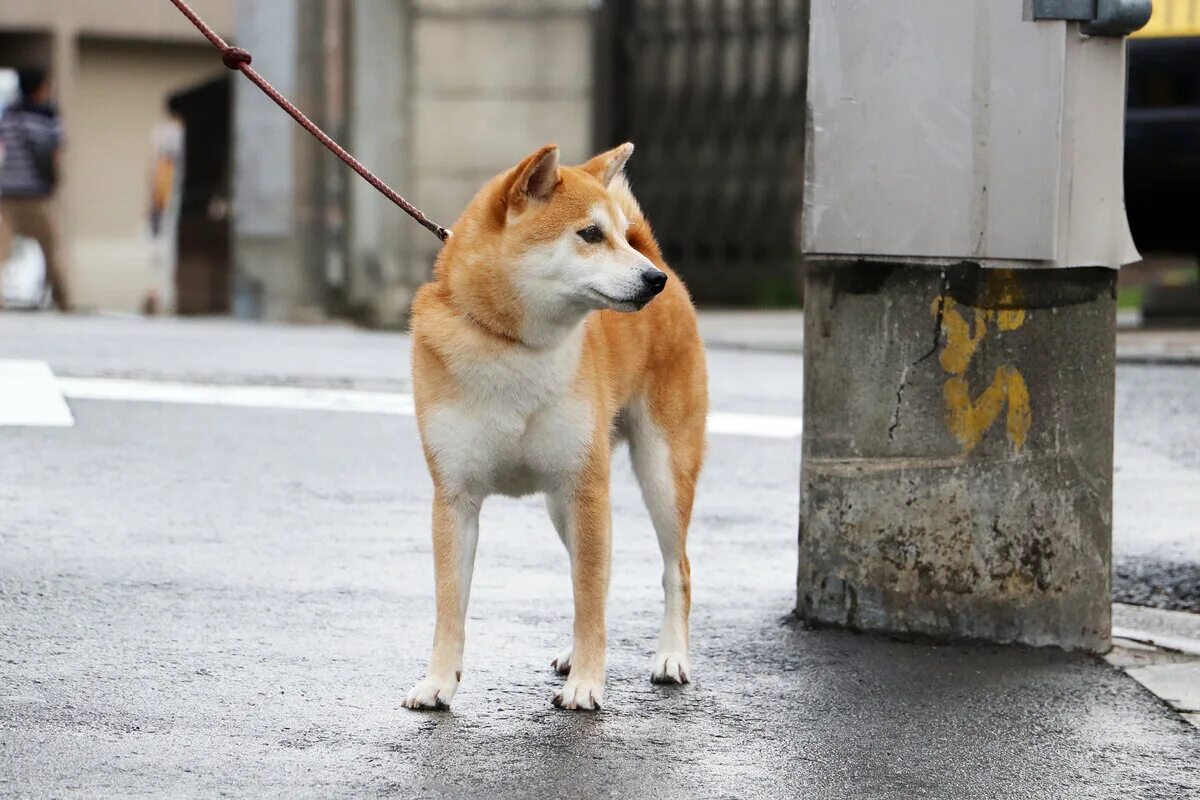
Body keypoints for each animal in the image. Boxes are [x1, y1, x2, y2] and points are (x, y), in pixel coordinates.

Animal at [405, 140, 700, 710]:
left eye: (616, 234)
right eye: (590, 234)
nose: (653, 280)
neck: (515, 348)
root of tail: (658, 254)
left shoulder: (587, 487)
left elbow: (589, 599)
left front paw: (585, 683)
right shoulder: (455, 498)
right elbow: (450, 604)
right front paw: (437, 681)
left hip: (660, 473)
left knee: (675, 570)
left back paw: (671, 656)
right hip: (562, 505)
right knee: (593, 576)